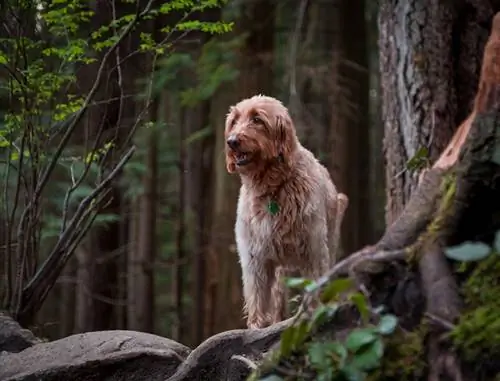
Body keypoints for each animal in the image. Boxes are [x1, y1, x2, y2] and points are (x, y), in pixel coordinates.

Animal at [226, 94, 348, 326]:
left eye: (257, 119)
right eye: (234, 121)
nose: (232, 141)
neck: (272, 189)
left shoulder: (314, 248)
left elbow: (315, 284)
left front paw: (315, 312)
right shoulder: (254, 255)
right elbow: (257, 293)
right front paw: (256, 325)